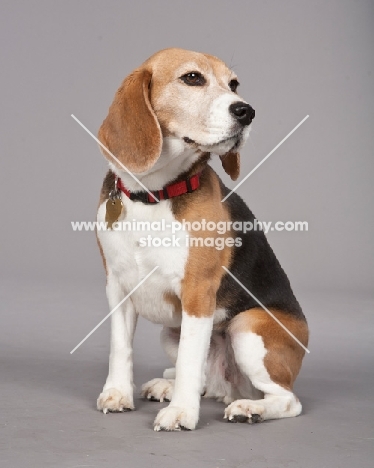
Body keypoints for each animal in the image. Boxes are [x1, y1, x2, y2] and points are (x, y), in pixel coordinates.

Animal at [95, 48, 308, 432]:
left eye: (233, 84)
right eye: (192, 78)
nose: (246, 110)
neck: (154, 193)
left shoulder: (197, 291)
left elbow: (189, 360)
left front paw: (181, 412)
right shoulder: (117, 286)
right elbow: (121, 347)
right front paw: (117, 393)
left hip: (247, 328)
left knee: (287, 399)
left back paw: (249, 408)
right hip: (170, 333)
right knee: (211, 383)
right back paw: (171, 386)